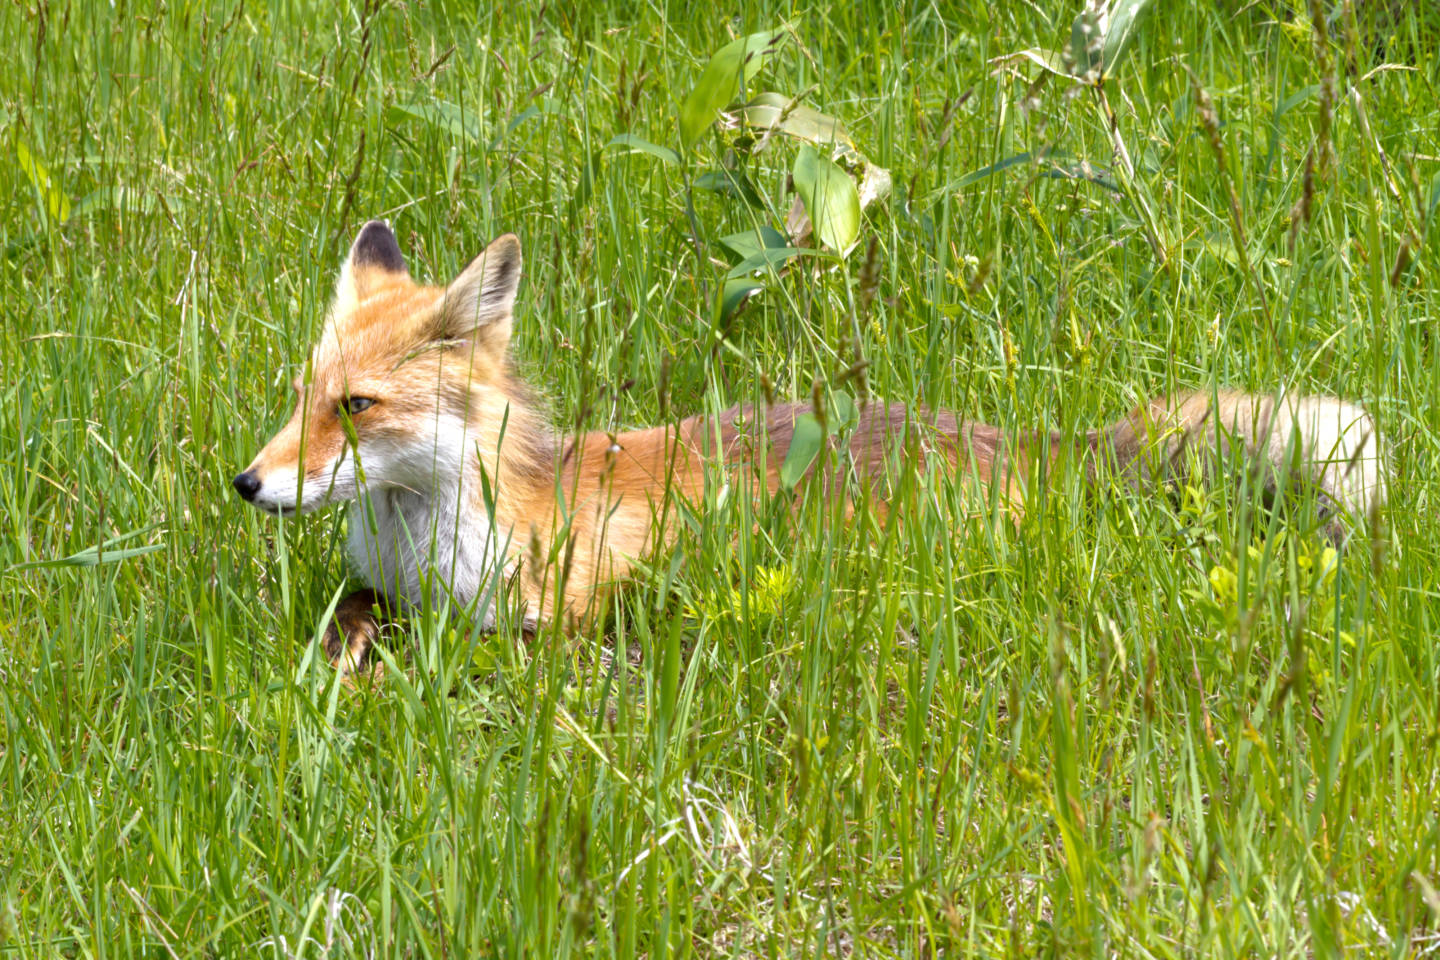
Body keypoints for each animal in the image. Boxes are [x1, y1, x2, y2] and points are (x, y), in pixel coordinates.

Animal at [233, 220, 1382, 676]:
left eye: (359, 407)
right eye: (303, 397)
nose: (247, 484)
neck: (425, 547)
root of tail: (1031, 445)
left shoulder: (551, 621)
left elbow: (452, 645)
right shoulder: (378, 587)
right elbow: (349, 617)